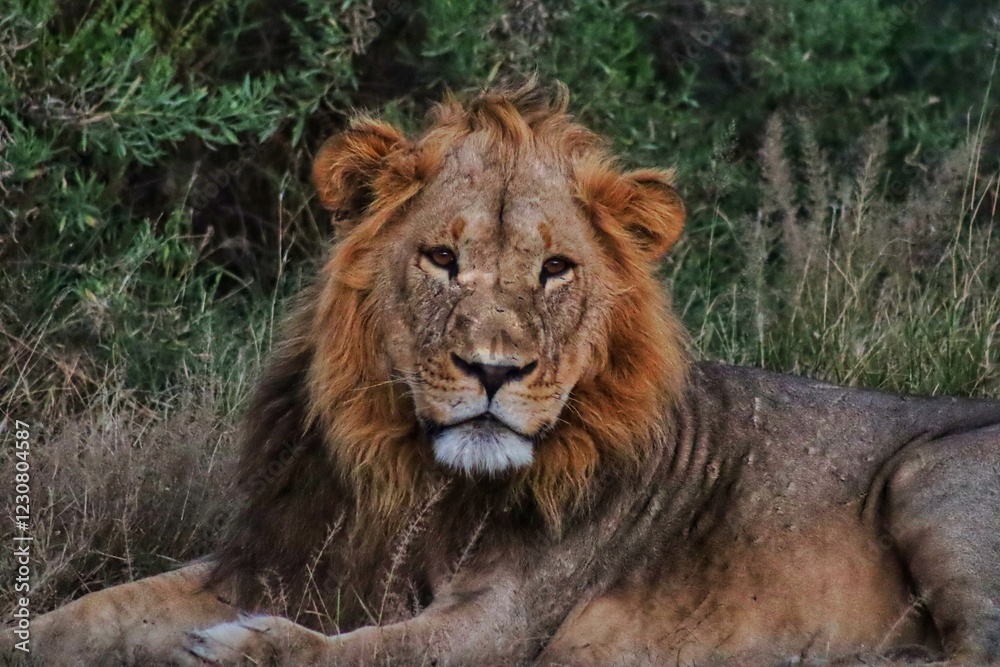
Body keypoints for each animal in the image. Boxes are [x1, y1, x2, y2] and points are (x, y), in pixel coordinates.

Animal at [7, 82, 1000, 667]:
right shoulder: (280, 551)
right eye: (443, 258)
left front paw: (250, 650)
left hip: (929, 473)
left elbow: (367, 650)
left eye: (556, 269)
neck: (409, 475)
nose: (494, 369)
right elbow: (95, 608)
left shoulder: (504, 621)